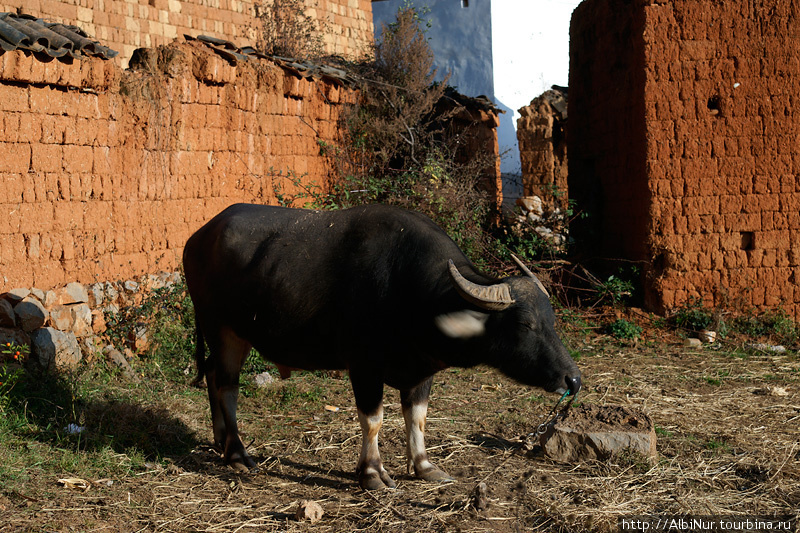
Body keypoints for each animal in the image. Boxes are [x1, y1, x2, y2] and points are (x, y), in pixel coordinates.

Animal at [184, 204, 580, 490]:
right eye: (524, 324)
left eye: (552, 320)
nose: (572, 379)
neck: (415, 296)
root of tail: (197, 238)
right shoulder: (364, 368)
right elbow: (373, 420)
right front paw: (372, 473)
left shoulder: (422, 370)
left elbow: (417, 417)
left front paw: (424, 466)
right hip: (221, 329)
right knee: (227, 385)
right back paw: (238, 453)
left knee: (213, 379)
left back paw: (220, 440)